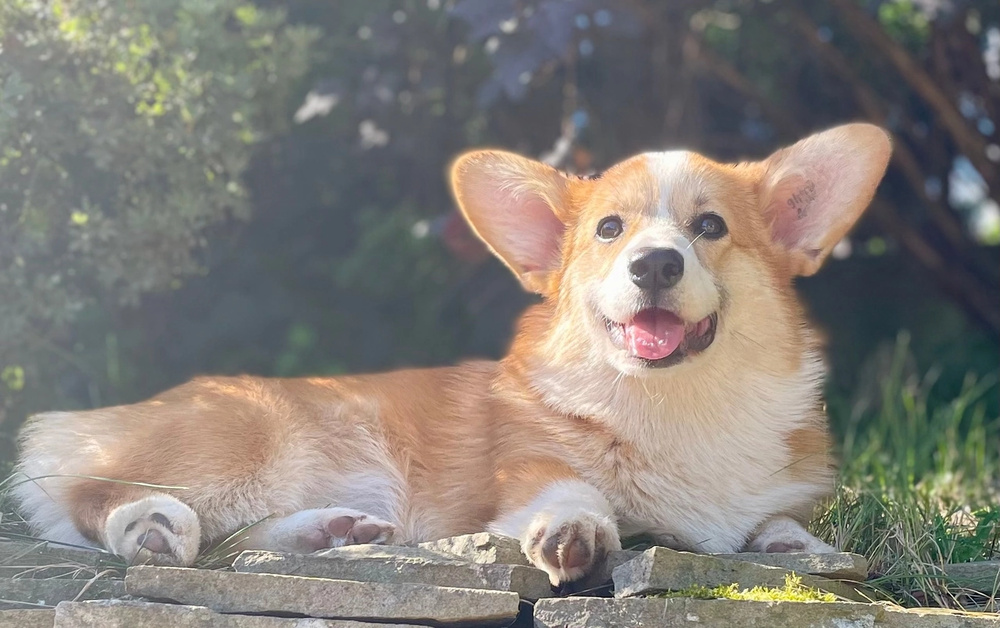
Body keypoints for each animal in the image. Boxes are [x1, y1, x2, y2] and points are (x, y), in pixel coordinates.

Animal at [11, 125, 892, 588]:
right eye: (609, 230)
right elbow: (569, 490)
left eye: (710, 228)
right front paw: (575, 532)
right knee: (94, 492)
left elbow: (774, 522)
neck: (677, 407)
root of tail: (91, 418)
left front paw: (803, 549)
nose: (654, 265)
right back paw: (149, 526)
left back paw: (332, 532)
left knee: (238, 542)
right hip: (240, 444)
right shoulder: (526, 472)